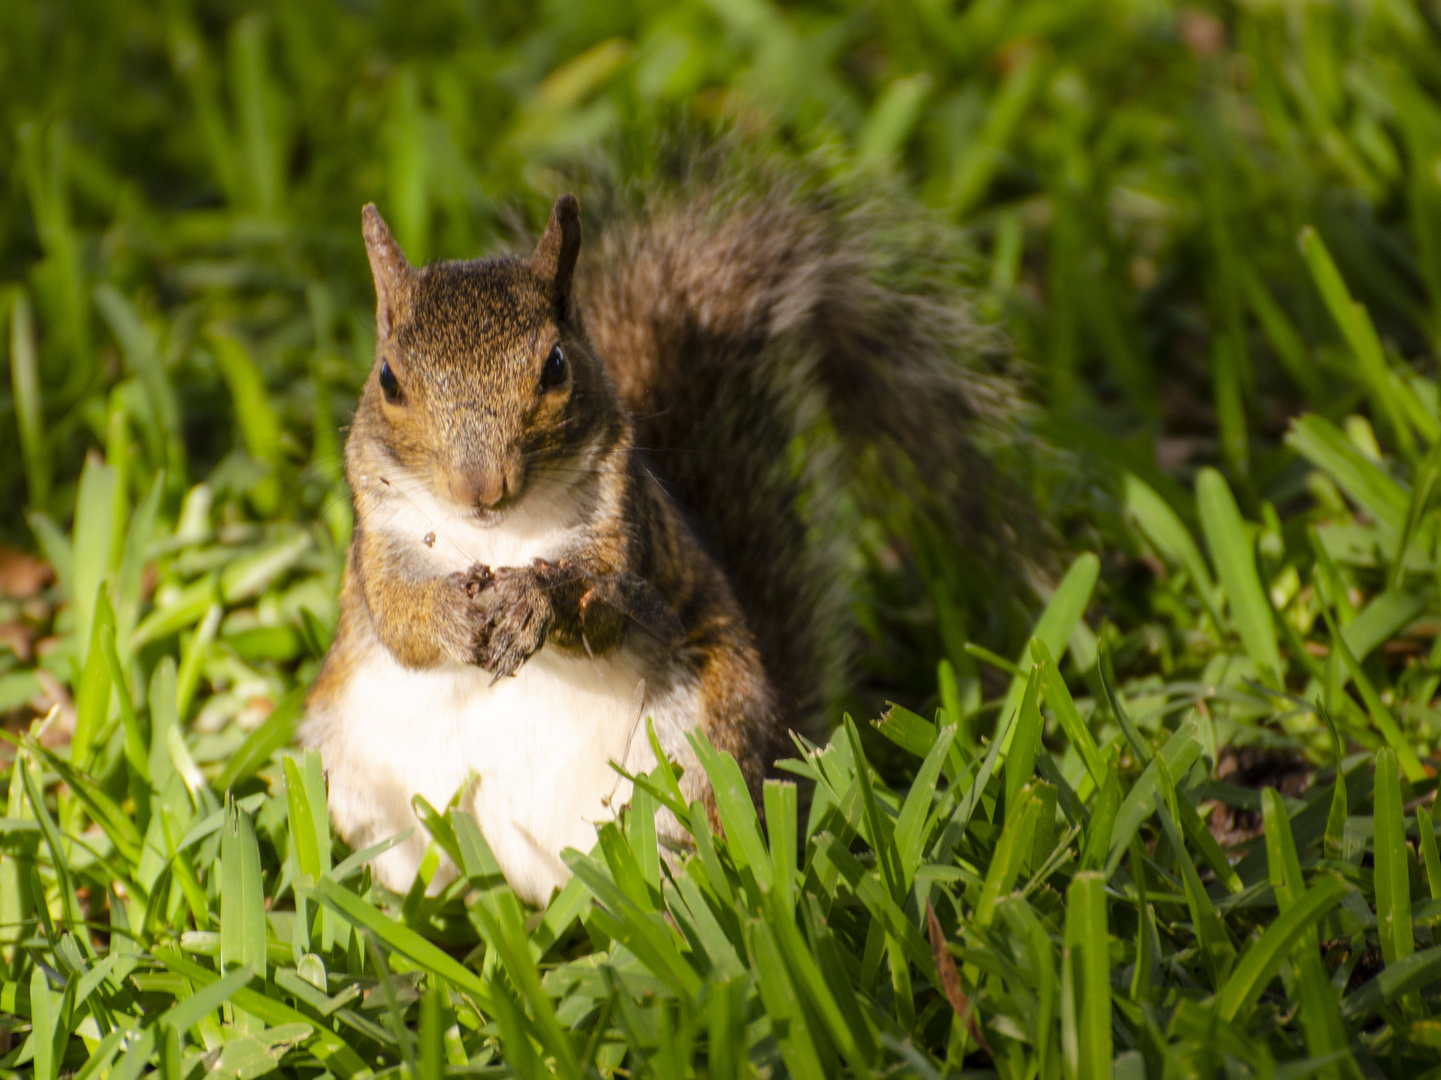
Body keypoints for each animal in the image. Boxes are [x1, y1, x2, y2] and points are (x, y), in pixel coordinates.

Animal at [301, 160, 1037, 899]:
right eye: (388, 379)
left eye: (557, 366)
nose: (480, 486)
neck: (496, 533)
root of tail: (535, 883)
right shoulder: (379, 543)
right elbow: (399, 617)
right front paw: (451, 616)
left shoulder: (626, 532)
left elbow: (602, 614)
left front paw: (538, 601)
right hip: (361, 782)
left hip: (697, 753)